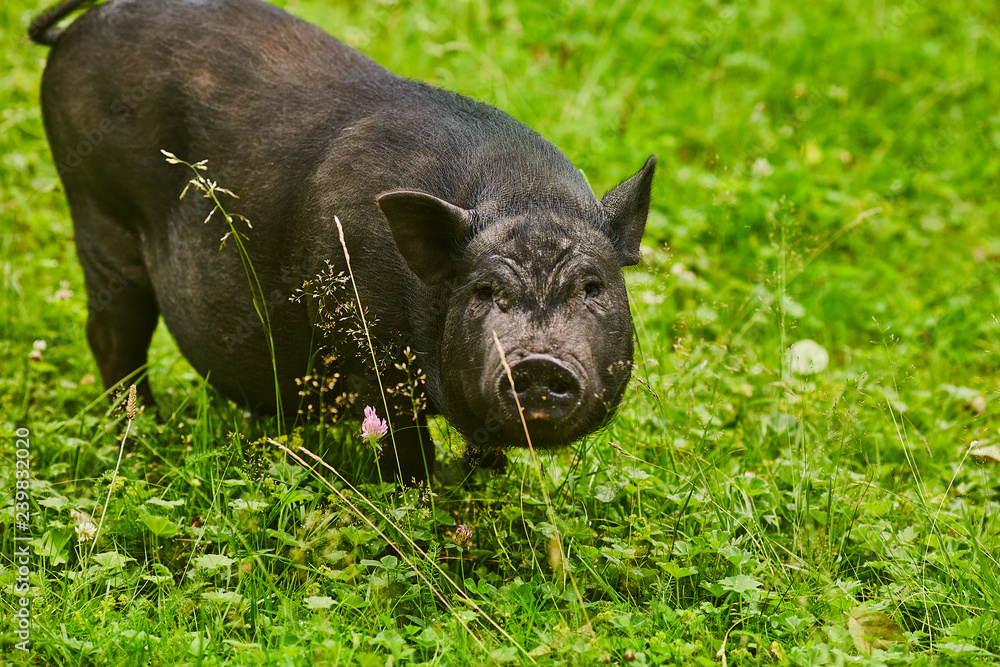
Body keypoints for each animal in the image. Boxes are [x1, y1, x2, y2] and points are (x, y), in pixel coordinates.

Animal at [30, 0, 656, 485]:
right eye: (483, 291)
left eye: (592, 287)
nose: (540, 362)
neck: (522, 198)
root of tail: (76, 30)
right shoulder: (370, 356)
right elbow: (405, 447)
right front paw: (419, 497)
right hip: (96, 208)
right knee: (113, 334)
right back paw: (146, 437)